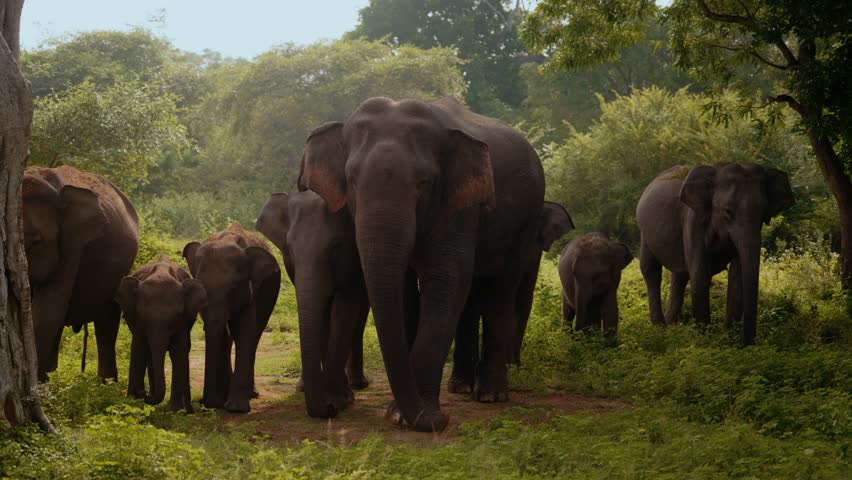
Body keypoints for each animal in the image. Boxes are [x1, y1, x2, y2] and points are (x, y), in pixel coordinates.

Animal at [115, 255, 207, 412]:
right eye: (141, 313)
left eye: (177, 315)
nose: (142, 392)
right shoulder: (138, 321)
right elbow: (138, 348)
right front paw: (132, 404)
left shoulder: (183, 320)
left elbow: (179, 350)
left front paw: (177, 411)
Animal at [182, 221, 281, 413]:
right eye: (200, 287)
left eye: (233, 287)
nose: (207, 403)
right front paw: (219, 401)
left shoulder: (251, 290)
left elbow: (244, 331)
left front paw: (236, 408)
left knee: (255, 334)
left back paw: (251, 393)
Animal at [255, 191, 370, 418]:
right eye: (290, 248)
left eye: (336, 245)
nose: (328, 410)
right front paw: (331, 397)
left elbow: (344, 309)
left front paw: (339, 399)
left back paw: (358, 384)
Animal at [301, 96, 546, 431]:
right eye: (351, 180)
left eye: (424, 182)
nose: (441, 420)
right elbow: (405, 294)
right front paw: (406, 414)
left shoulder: (459, 206)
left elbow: (446, 282)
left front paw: (412, 416)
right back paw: (461, 387)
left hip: (526, 223)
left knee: (501, 288)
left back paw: (489, 395)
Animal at [636, 163, 794, 344]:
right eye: (727, 211)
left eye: (763, 213)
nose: (748, 343)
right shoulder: (693, 221)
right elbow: (700, 274)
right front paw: (705, 339)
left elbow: (737, 275)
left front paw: (728, 336)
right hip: (644, 232)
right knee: (651, 270)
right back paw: (660, 329)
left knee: (680, 275)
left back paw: (671, 326)